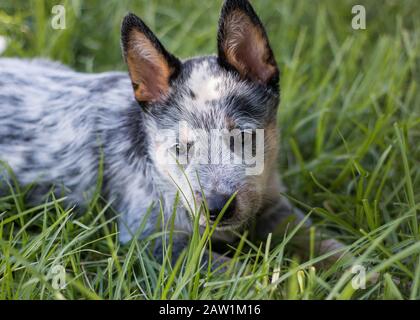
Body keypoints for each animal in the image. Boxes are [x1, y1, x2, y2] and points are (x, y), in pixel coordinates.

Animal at [0, 0, 342, 264]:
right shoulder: (155, 241)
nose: (217, 208)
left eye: (244, 137)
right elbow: (238, 273)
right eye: (180, 148)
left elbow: (323, 243)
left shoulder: (274, 205)